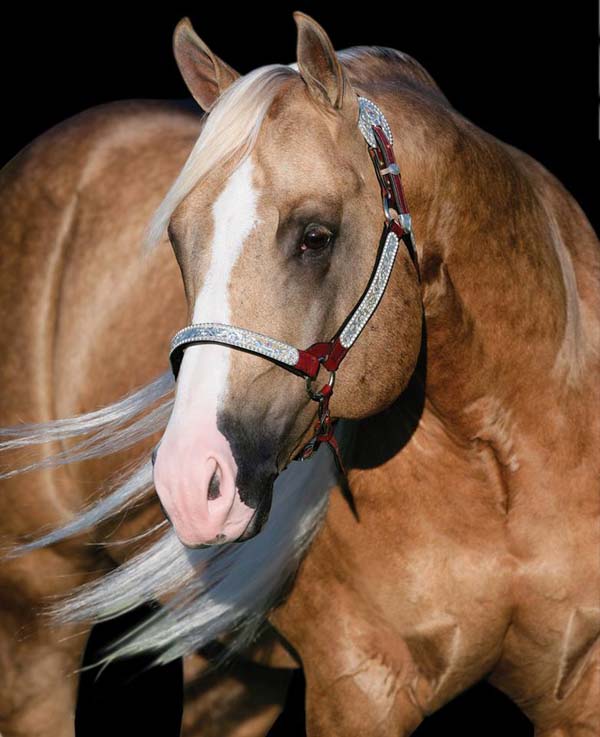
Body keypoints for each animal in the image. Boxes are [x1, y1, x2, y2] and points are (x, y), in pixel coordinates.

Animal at [0, 10, 598, 736]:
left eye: (316, 236)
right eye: (177, 239)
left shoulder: (581, 690)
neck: (504, 461)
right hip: (34, 625)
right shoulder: (360, 689)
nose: (190, 482)